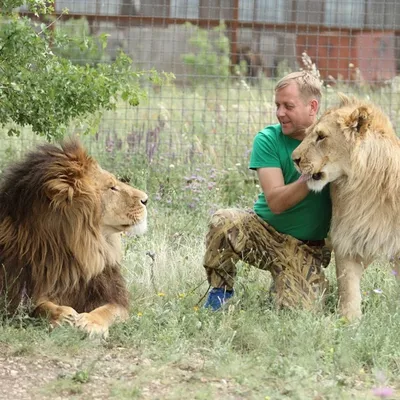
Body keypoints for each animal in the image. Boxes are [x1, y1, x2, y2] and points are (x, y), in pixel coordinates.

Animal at [0, 141, 148, 338]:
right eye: (111, 187)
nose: (146, 199)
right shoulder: (17, 293)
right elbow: (39, 305)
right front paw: (63, 315)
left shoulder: (114, 295)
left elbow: (108, 310)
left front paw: (91, 322)